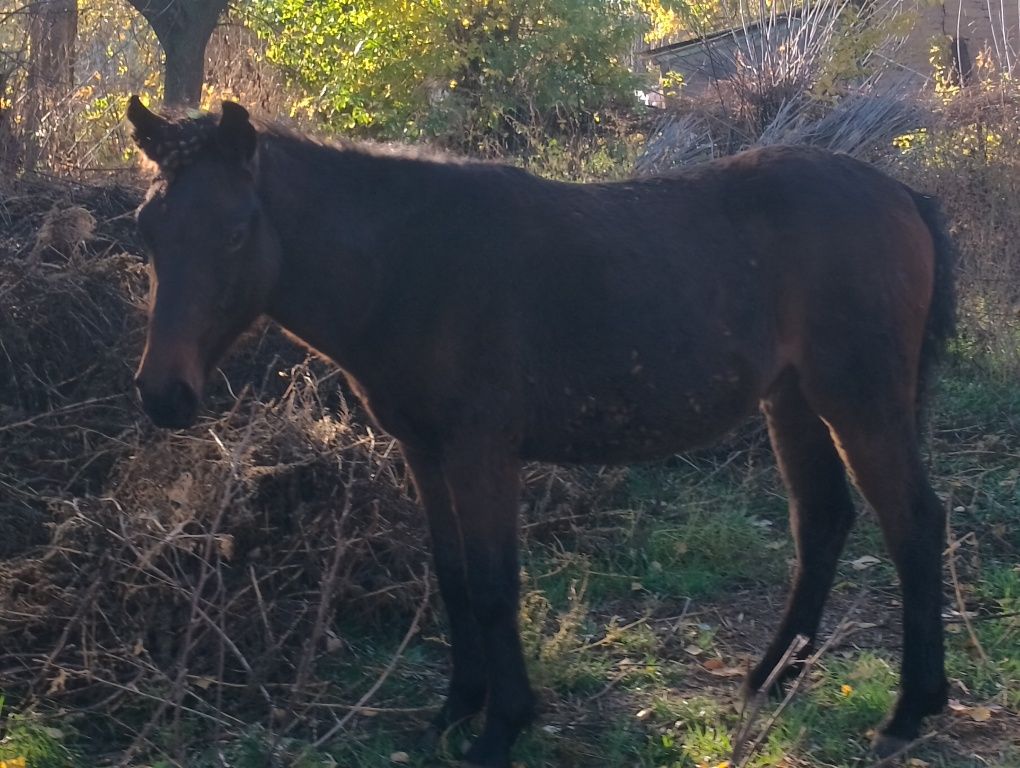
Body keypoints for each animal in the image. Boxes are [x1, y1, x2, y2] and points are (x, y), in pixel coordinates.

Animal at [125, 97, 954, 766]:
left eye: (237, 231)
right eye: (147, 229)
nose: (164, 394)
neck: (413, 261)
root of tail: (901, 194)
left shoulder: (481, 453)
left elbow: (495, 585)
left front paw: (501, 728)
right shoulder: (424, 452)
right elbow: (454, 577)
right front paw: (453, 713)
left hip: (861, 403)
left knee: (913, 524)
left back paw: (909, 712)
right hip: (794, 403)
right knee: (822, 520)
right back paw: (772, 676)